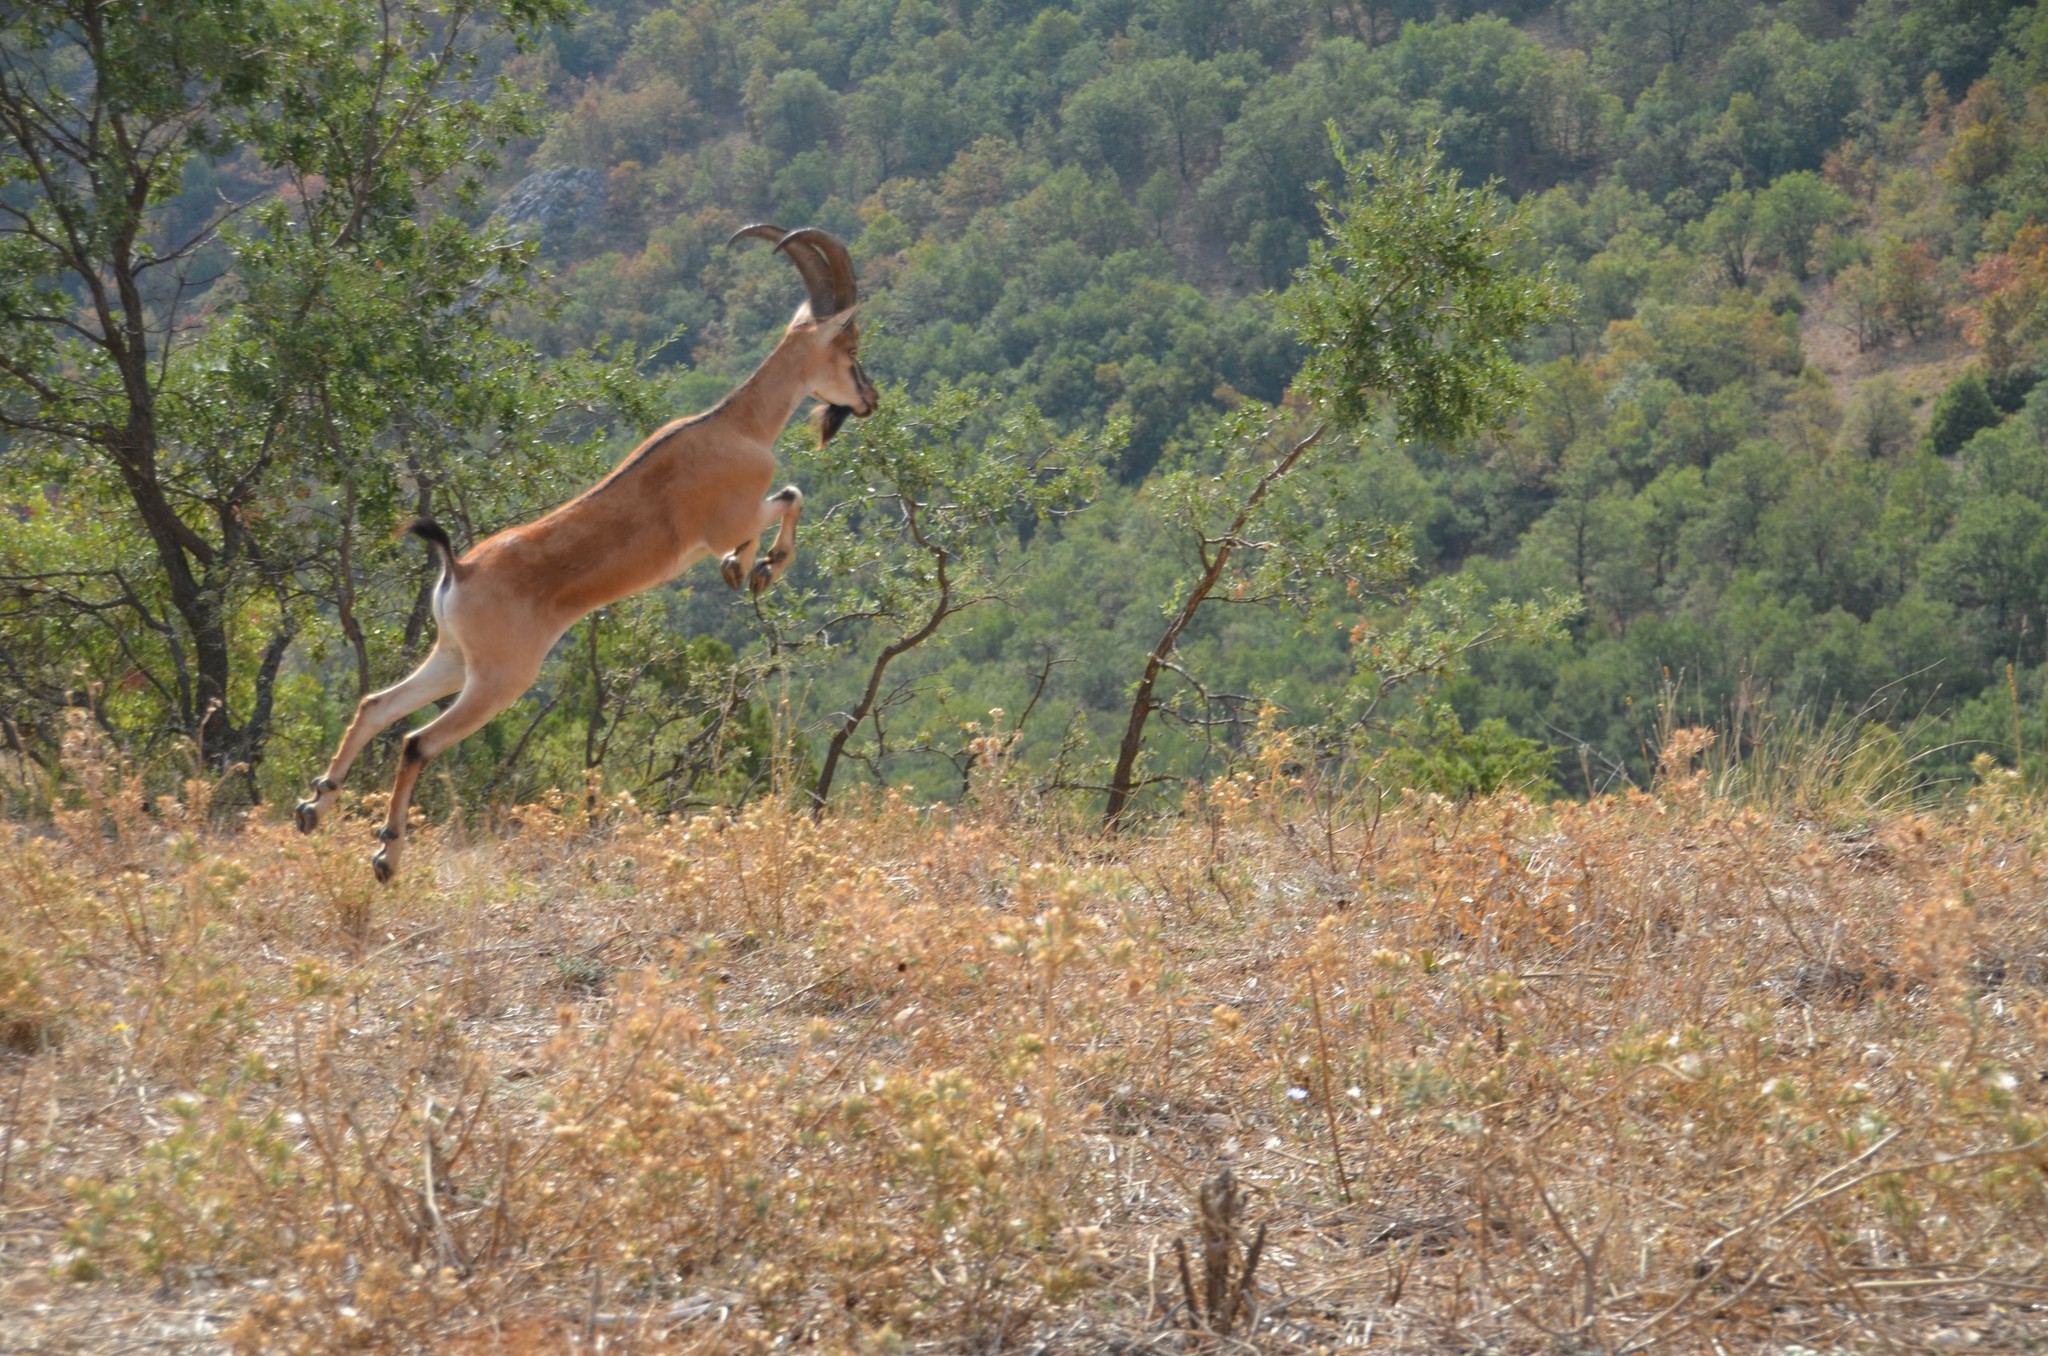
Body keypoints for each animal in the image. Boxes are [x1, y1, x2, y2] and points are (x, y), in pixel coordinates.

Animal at [294, 225, 872, 880]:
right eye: (850, 349)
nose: (869, 399)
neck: (736, 426)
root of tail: (456, 572)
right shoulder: (728, 517)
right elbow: (791, 497)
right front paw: (758, 570)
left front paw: (742, 570)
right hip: (499, 679)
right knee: (417, 742)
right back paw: (386, 854)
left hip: (454, 660)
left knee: (375, 706)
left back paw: (314, 806)